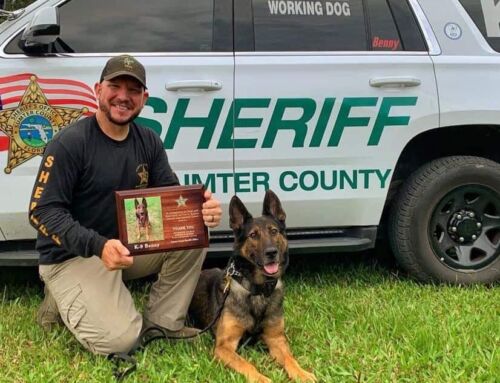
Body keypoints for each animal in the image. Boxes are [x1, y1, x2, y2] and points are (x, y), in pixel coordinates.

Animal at [189, 190, 314, 382]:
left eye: (274, 231)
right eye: (253, 235)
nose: (271, 253)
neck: (257, 290)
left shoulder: (276, 339)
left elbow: (290, 359)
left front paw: (302, 373)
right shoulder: (224, 347)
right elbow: (246, 364)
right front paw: (262, 379)